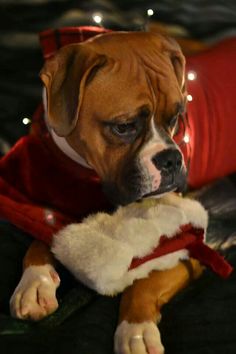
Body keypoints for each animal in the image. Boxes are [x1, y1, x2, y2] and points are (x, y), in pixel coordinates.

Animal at [10, 31, 204, 354]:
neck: (87, 174)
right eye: (123, 127)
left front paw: (136, 330)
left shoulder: (190, 246)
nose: (171, 159)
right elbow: (40, 239)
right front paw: (35, 283)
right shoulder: (51, 208)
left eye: (175, 118)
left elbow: (145, 282)